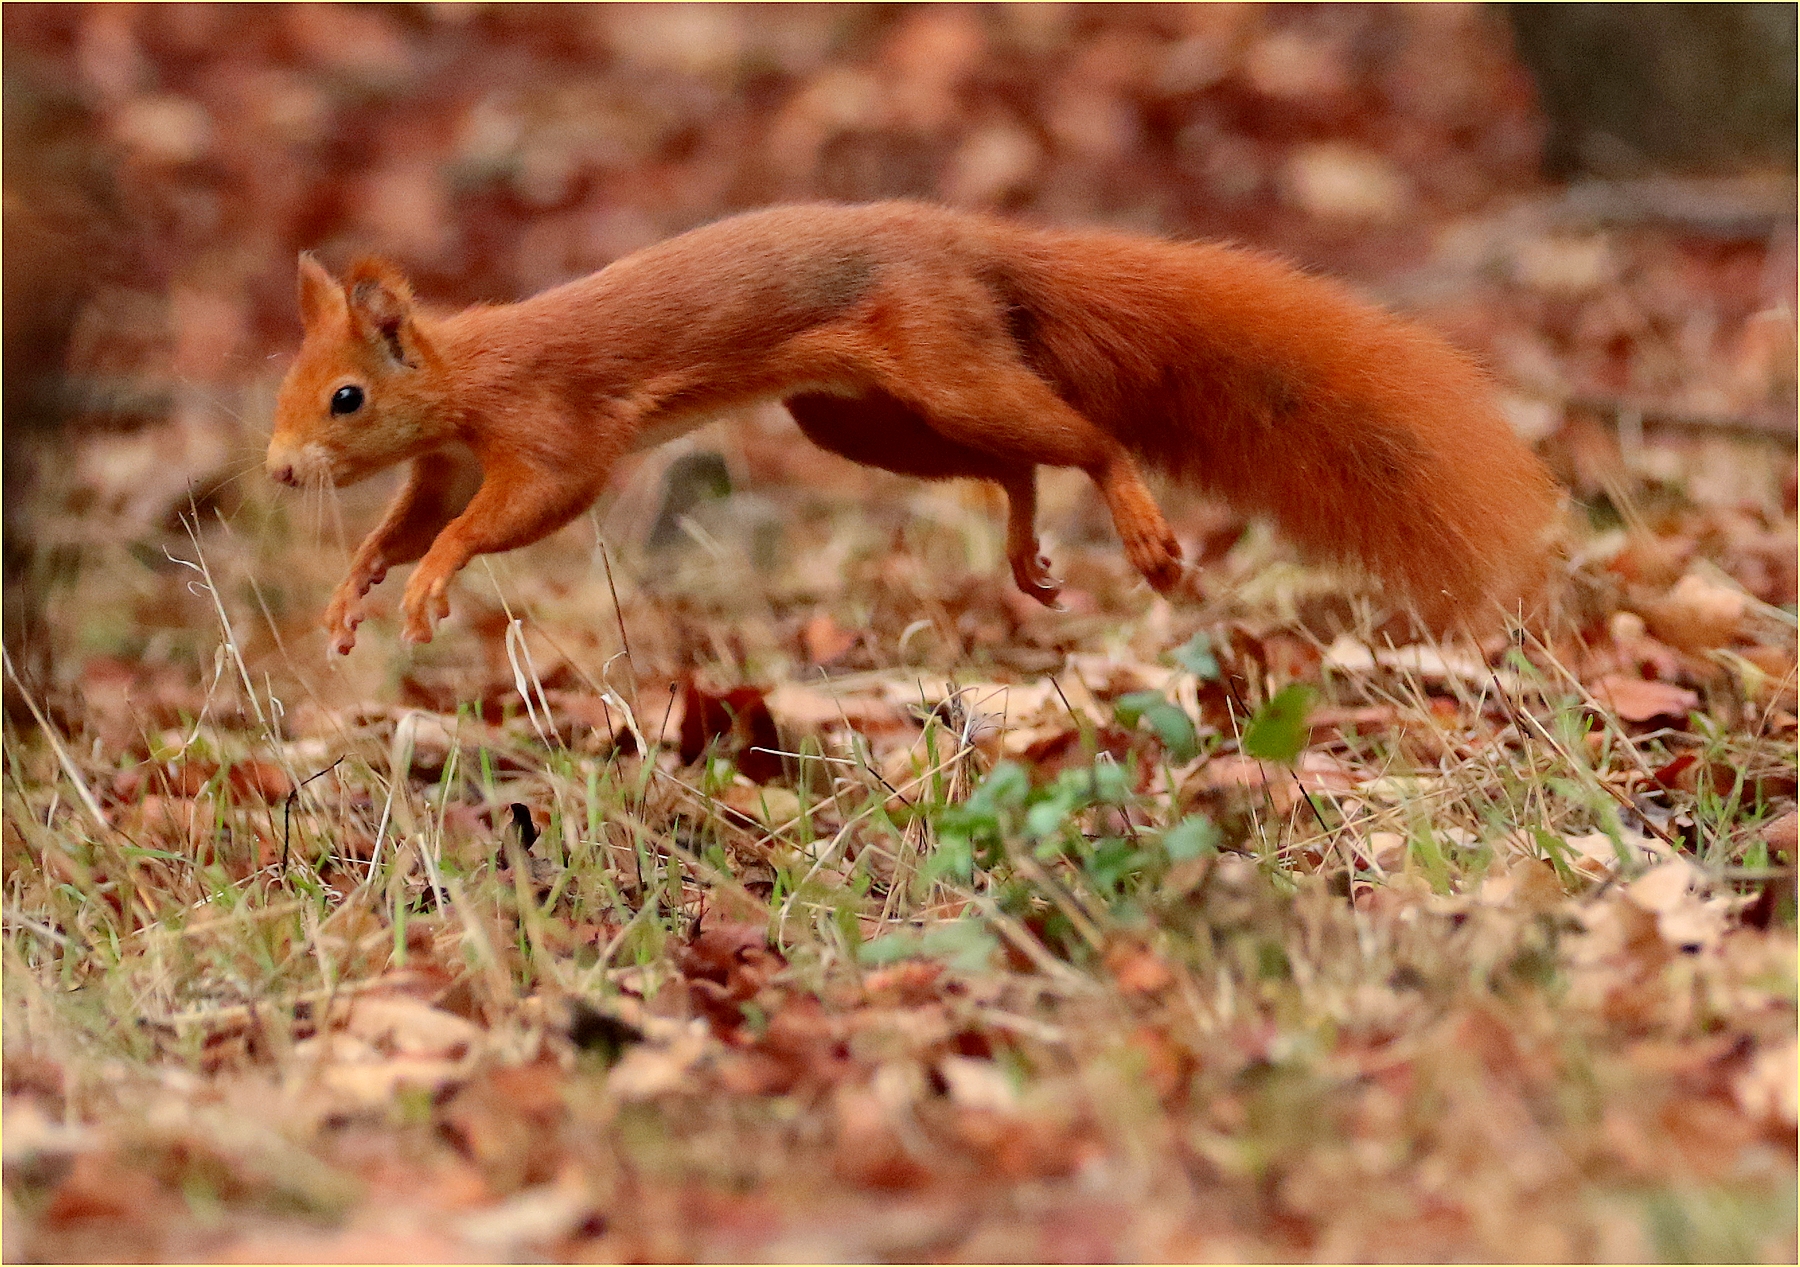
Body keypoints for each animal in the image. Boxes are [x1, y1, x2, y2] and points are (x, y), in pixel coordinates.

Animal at [266, 201, 1559, 653]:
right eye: (290, 382)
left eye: (346, 396)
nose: (279, 470)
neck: (467, 371)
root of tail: (975, 246)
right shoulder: (445, 461)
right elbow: (406, 517)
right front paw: (357, 586)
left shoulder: (548, 433)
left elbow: (521, 507)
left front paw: (431, 581)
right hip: (865, 421)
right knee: (1018, 462)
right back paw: (1027, 547)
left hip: (942, 368)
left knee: (1087, 438)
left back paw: (1143, 532)